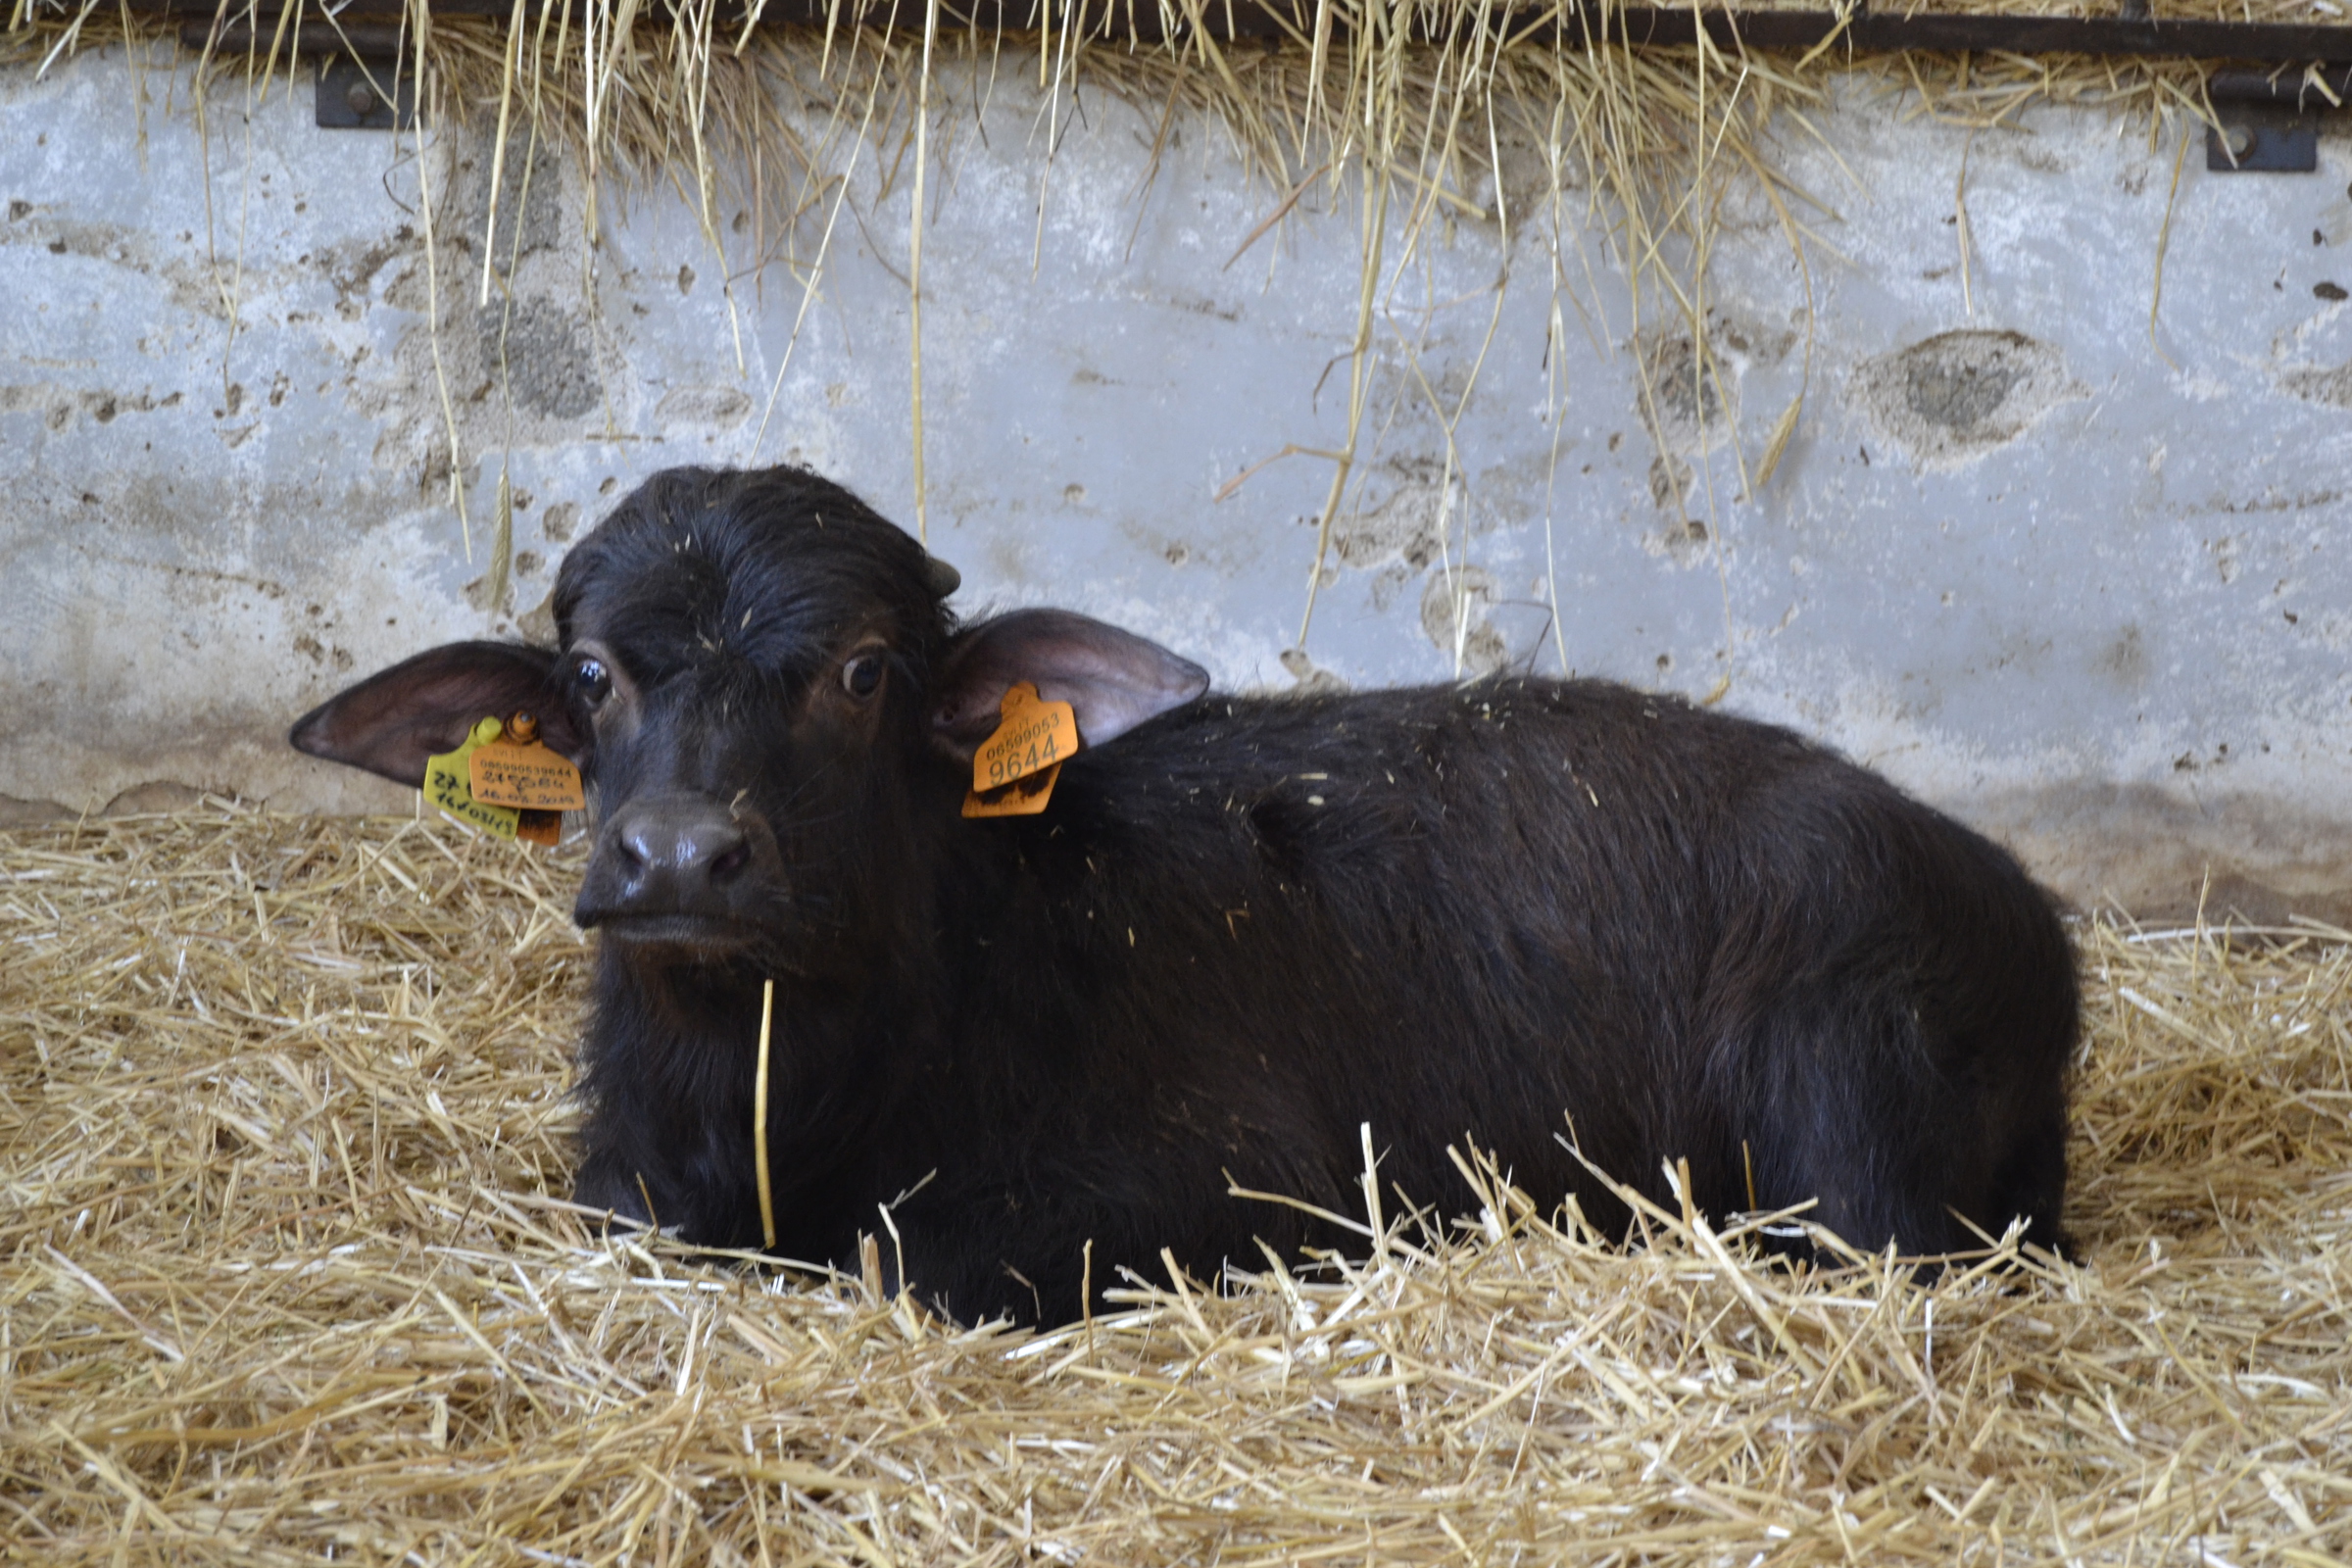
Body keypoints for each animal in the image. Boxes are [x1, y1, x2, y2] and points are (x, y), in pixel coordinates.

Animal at [290, 463, 2078, 1326]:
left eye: (863, 671)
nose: (678, 858)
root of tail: (2013, 914)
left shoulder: (1227, 1194)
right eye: (593, 674)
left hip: (1849, 1148)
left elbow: (922, 1266)